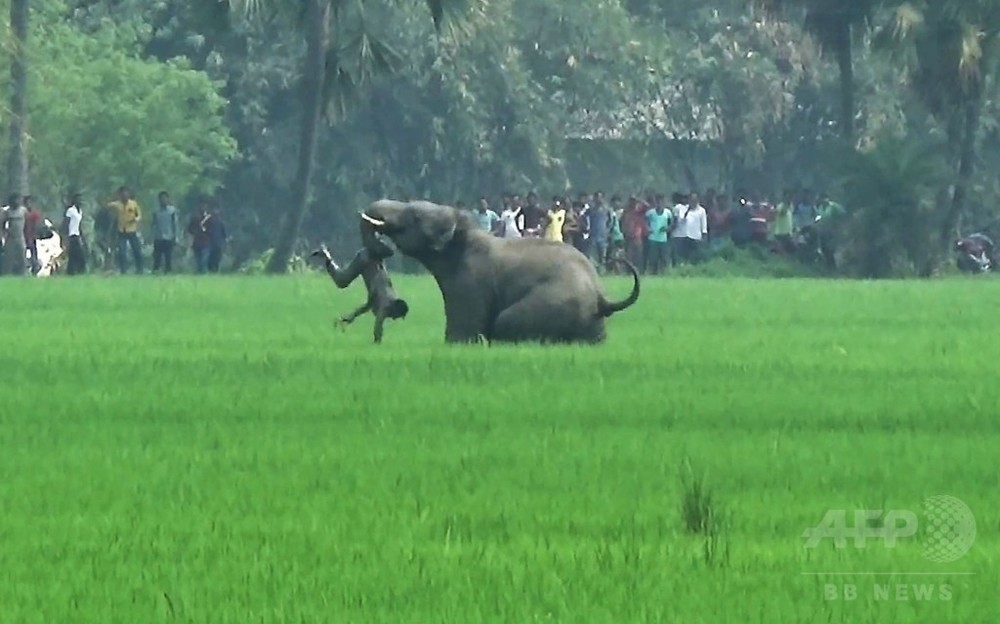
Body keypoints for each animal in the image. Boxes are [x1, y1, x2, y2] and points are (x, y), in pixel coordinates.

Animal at [362, 200, 640, 344]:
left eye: (414, 216)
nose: (381, 249)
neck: (463, 232)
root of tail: (602, 299)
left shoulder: (470, 282)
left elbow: (464, 331)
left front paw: (457, 343)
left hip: (555, 303)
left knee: (506, 321)